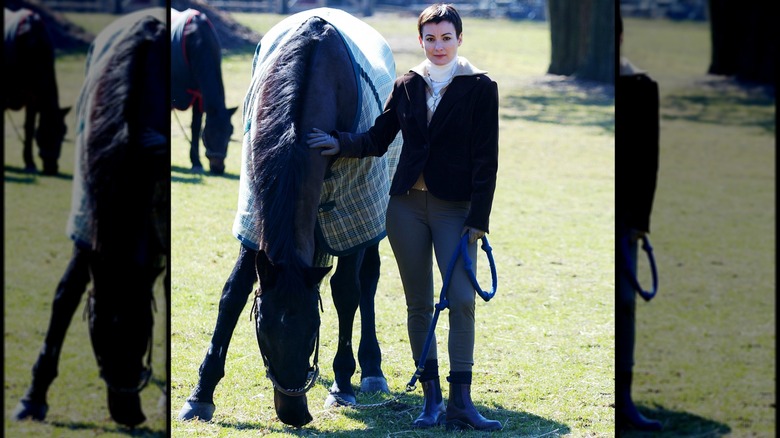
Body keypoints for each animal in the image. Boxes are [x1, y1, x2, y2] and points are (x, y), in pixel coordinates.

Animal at [3, 6, 70, 175]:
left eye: (63, 132)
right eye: (47, 133)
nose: (52, 168)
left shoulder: (33, 99)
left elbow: (29, 127)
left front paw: (29, 162)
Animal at [11, 8, 169, 428]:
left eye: (142, 333)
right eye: (101, 336)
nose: (129, 413)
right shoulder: (87, 223)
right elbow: (65, 295)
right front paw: (34, 396)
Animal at [169, 6, 233, 175]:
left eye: (230, 132)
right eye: (209, 134)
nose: (218, 168)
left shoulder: (199, 96)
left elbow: (195, 127)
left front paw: (196, 162)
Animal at [178, 8, 402, 426]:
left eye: (313, 331)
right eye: (263, 332)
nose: (294, 412)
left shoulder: (355, 206)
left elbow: (346, 293)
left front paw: (342, 384)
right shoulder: (255, 214)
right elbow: (233, 293)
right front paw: (201, 394)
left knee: (368, 280)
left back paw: (371, 368)